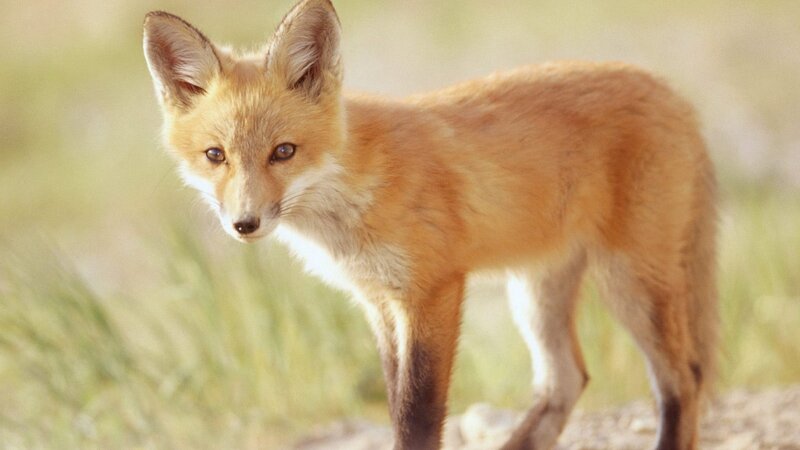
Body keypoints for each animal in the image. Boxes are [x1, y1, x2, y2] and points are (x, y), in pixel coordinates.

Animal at [143, 1, 717, 449]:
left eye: (283, 152)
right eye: (215, 155)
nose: (244, 223)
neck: (355, 191)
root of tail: (672, 91)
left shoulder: (433, 290)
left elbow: (418, 414)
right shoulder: (379, 302)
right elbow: (396, 399)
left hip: (631, 282)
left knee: (682, 378)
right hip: (535, 292)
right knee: (566, 380)